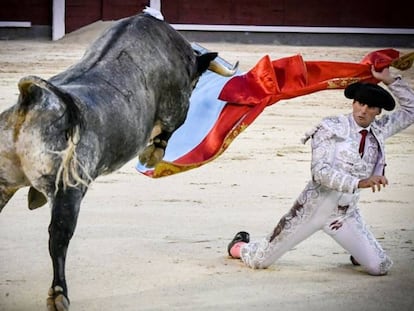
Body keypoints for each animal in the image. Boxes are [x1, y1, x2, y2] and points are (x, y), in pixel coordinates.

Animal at [0, 8, 236, 310]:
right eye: (195, 80)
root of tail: (31, 100)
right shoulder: (177, 107)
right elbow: (168, 131)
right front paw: (151, 155)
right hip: (68, 189)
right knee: (59, 236)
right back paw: (59, 294)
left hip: (4, 182)